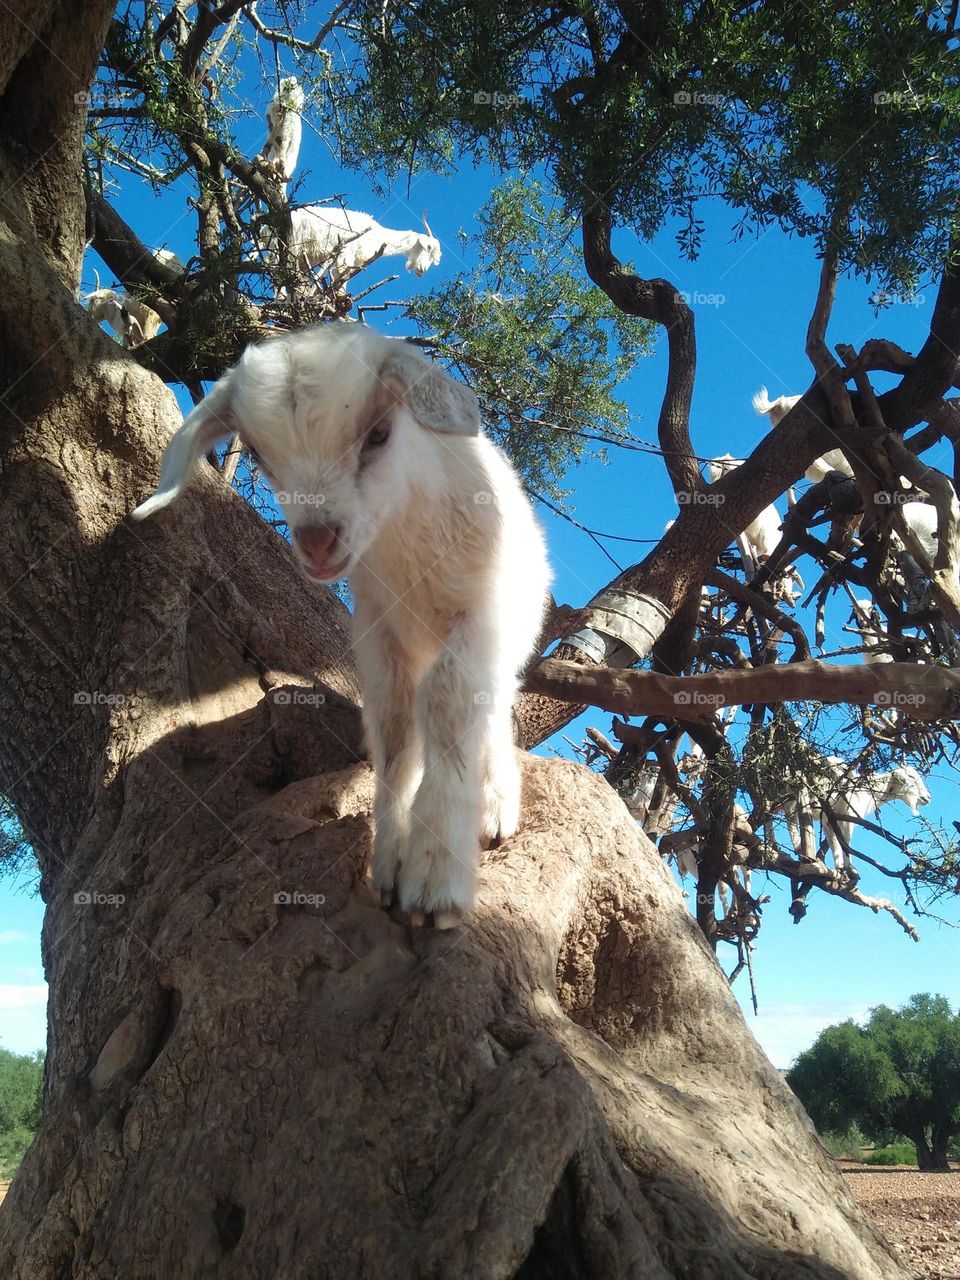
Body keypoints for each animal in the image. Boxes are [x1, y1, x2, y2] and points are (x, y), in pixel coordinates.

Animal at [129, 317, 547, 921]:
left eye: (379, 434)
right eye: (257, 455)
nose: (317, 543)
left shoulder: (484, 612)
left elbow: (448, 699)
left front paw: (435, 881)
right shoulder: (377, 628)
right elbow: (394, 725)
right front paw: (390, 866)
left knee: (489, 705)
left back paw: (493, 803)